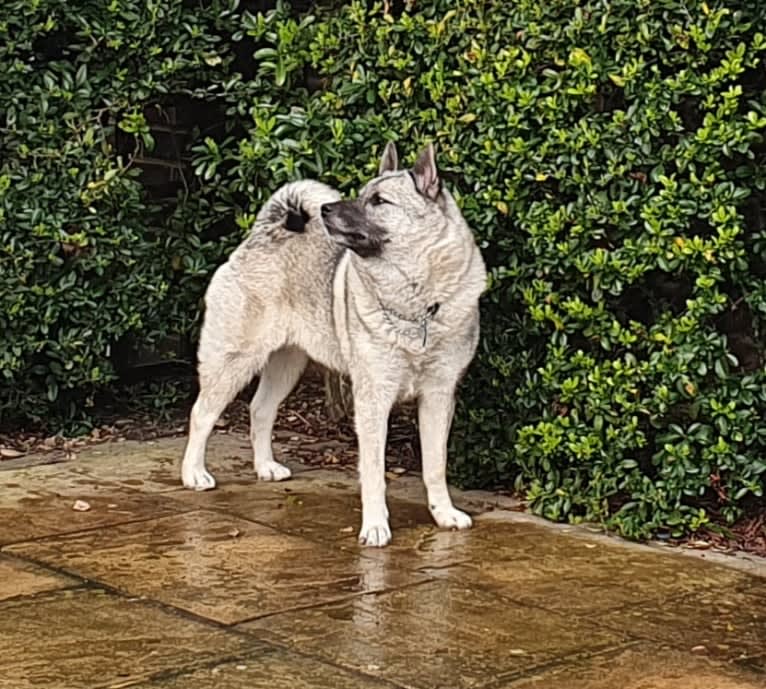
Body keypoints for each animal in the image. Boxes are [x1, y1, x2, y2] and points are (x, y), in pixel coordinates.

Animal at [182, 142, 486, 544]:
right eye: (361, 194)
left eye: (379, 201)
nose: (326, 209)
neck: (418, 302)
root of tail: (261, 237)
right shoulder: (373, 400)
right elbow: (373, 471)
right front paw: (375, 525)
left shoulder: (438, 397)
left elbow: (435, 465)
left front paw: (443, 513)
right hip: (234, 361)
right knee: (202, 413)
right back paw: (193, 474)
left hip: (286, 364)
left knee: (260, 409)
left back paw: (265, 466)